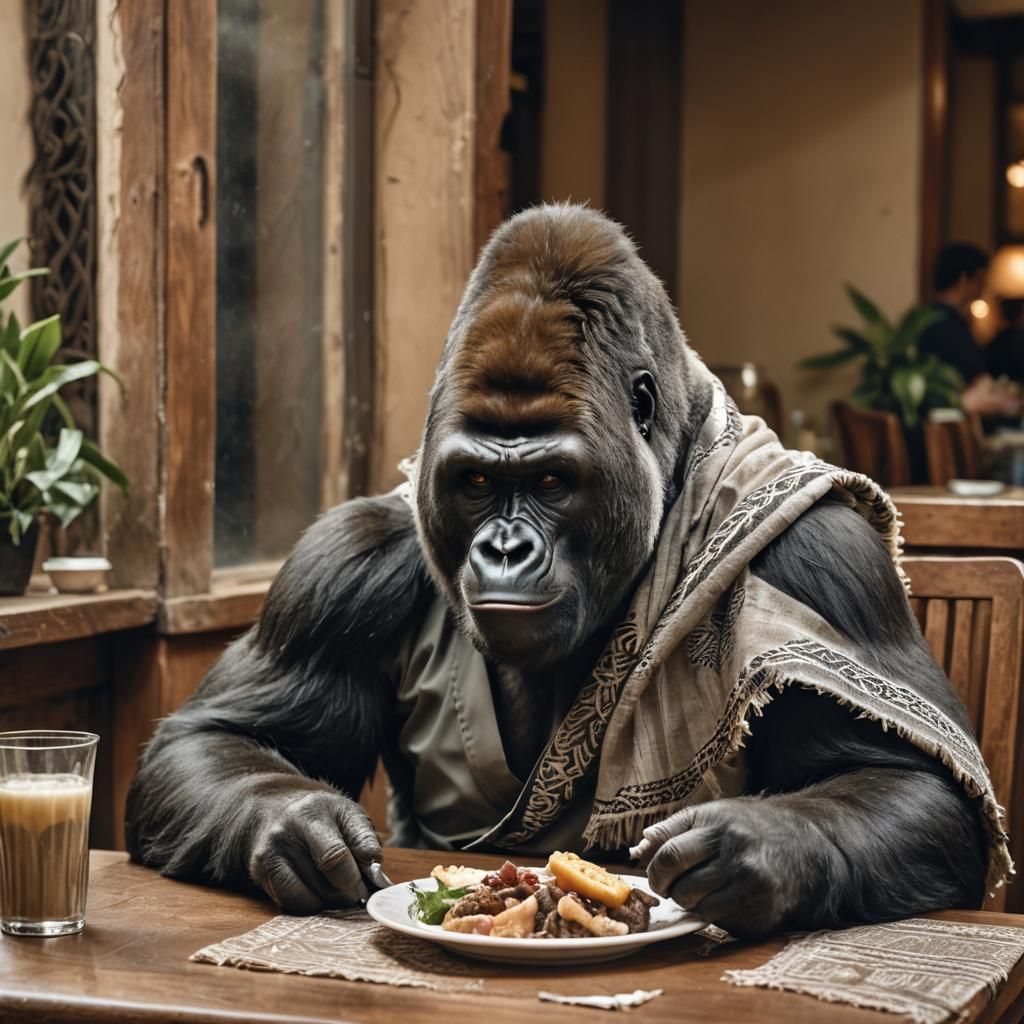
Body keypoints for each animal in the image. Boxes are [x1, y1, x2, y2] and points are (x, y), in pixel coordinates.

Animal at [126, 204, 992, 938]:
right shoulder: (345, 558)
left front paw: (756, 849)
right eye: (477, 481)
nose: (505, 550)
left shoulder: (824, 560)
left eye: (550, 481)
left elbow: (909, 778)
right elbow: (227, 732)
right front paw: (299, 826)